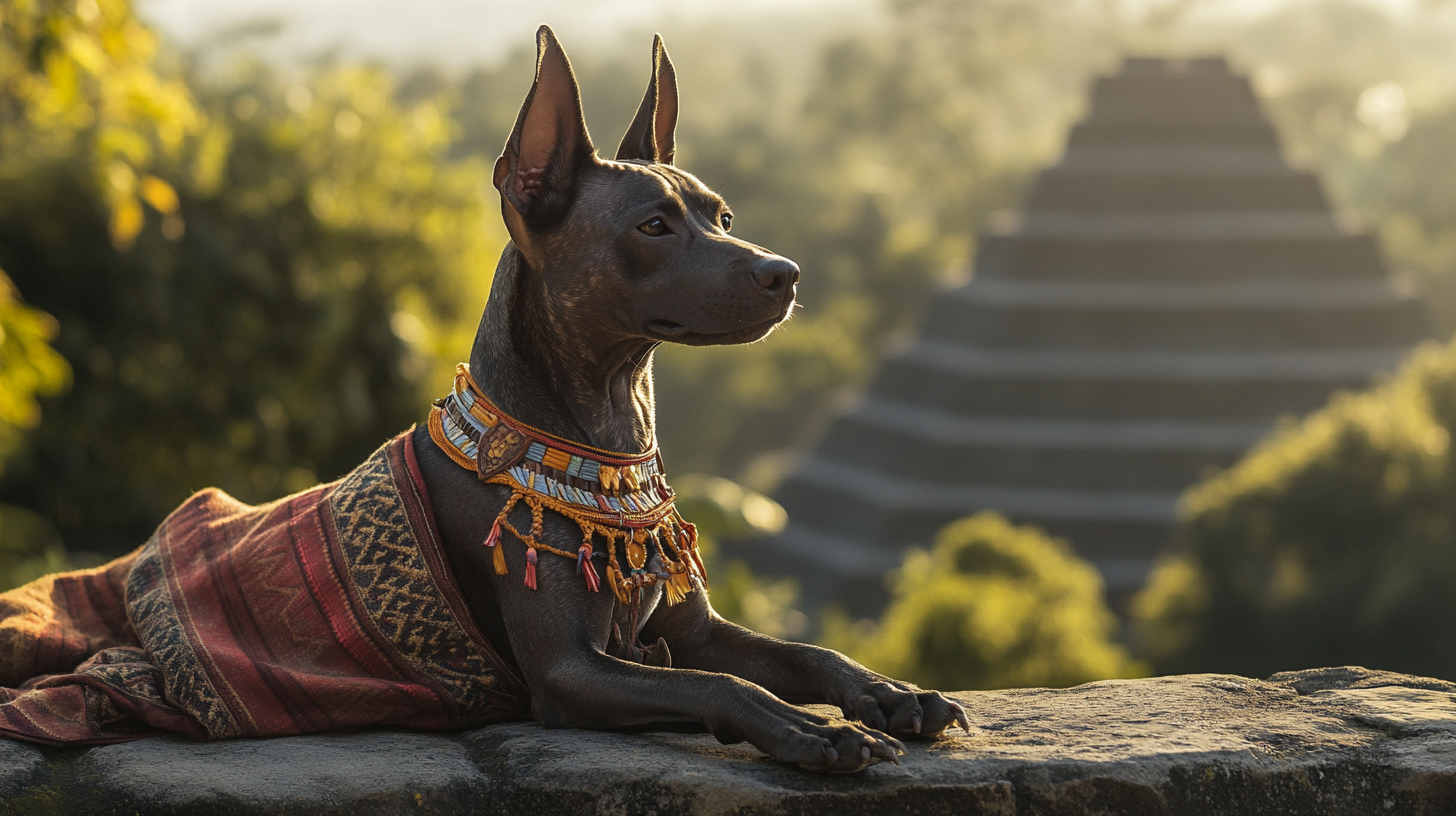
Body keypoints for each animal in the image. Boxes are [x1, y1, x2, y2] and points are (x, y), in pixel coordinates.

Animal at [416, 28, 972, 775]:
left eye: (723, 217)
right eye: (653, 227)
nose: (787, 274)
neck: (605, 440)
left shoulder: (699, 632)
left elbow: (807, 652)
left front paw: (890, 692)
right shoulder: (567, 673)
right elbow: (719, 685)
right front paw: (812, 730)